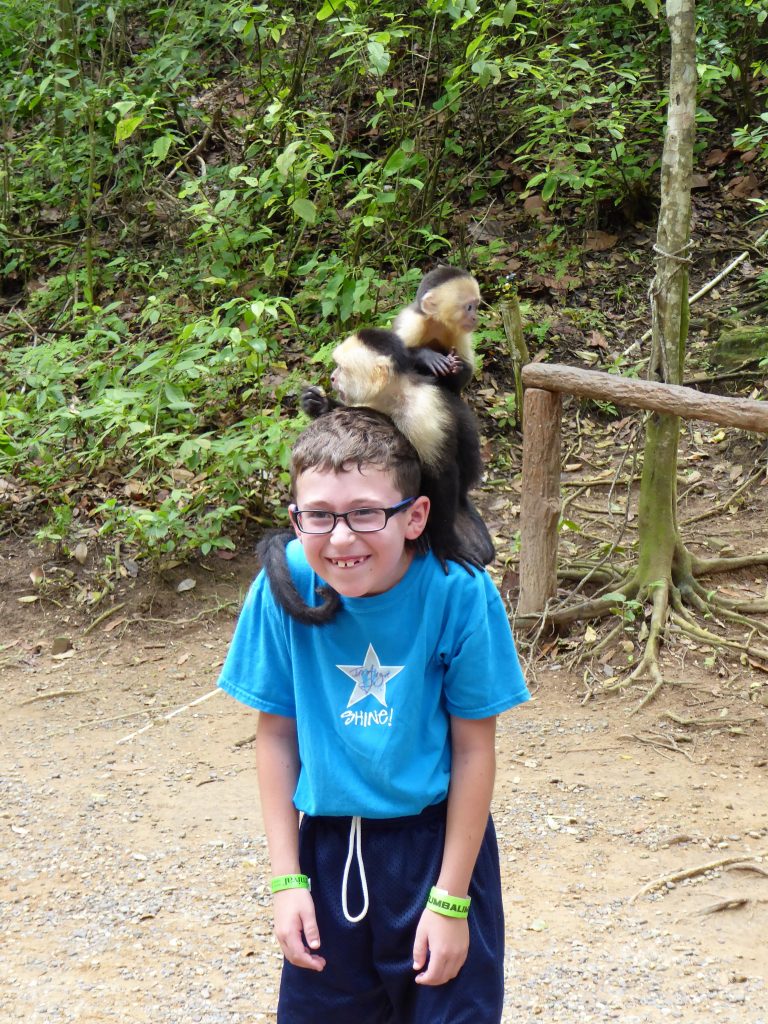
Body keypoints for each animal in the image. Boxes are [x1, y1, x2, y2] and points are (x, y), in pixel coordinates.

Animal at [262, 327, 495, 622]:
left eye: (342, 368)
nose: (332, 377)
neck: (394, 397)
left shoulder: (423, 412)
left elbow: (442, 472)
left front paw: (447, 545)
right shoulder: (370, 403)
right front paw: (318, 404)